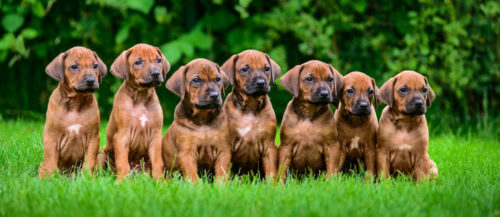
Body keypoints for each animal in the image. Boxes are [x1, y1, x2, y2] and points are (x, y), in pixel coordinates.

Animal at [38, 46, 107, 177]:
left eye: (95, 65)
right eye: (74, 66)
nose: (91, 80)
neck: (76, 102)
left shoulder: (93, 137)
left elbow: (89, 161)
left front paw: (88, 178)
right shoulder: (52, 137)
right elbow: (51, 162)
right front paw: (52, 179)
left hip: (101, 155)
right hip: (41, 164)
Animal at [101, 42, 170, 180]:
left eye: (158, 60)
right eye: (138, 62)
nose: (156, 73)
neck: (141, 97)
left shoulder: (156, 137)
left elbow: (158, 163)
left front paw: (161, 181)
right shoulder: (121, 136)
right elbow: (122, 163)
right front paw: (122, 182)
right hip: (101, 154)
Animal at [222, 50, 282, 179]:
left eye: (267, 68)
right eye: (245, 69)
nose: (261, 83)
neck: (251, 105)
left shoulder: (269, 146)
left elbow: (271, 171)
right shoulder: (227, 145)